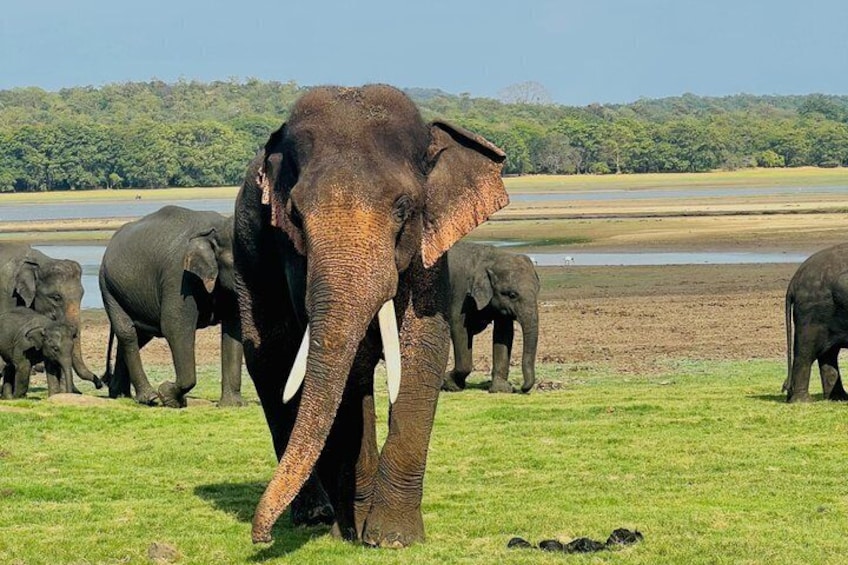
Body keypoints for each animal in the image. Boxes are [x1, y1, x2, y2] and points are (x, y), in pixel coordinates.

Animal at [99, 205, 244, 408]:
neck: (218, 226)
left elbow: (234, 329)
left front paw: (231, 406)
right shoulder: (179, 277)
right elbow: (175, 327)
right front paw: (169, 397)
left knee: (139, 335)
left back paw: (120, 394)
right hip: (108, 286)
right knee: (127, 333)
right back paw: (149, 397)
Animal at [233, 85, 509, 547]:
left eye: (402, 208)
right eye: (295, 216)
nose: (261, 537)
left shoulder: (429, 251)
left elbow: (423, 348)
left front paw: (392, 538)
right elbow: (349, 370)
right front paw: (357, 529)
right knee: (270, 360)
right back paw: (317, 515)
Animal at [441, 242, 540, 394]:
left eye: (537, 291)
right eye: (512, 295)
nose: (521, 388)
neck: (491, 257)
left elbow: (504, 333)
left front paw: (501, 389)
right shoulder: (459, 293)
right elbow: (459, 328)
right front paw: (450, 384)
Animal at [783, 243, 848, 403]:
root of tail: (794, 280)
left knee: (829, 354)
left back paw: (838, 398)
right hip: (812, 311)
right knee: (806, 353)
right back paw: (803, 401)